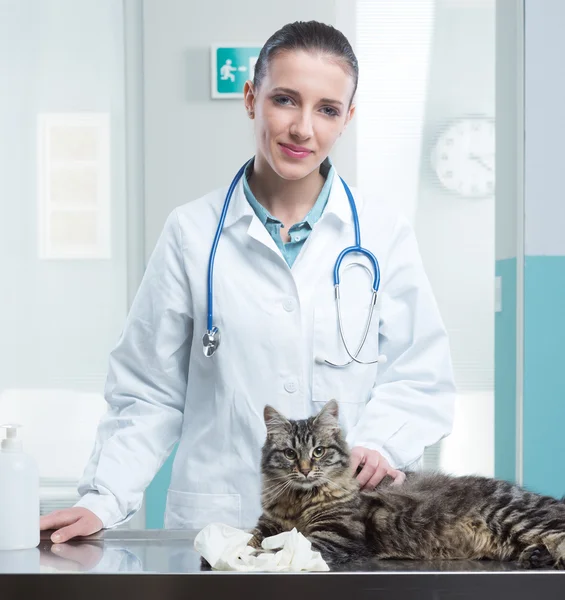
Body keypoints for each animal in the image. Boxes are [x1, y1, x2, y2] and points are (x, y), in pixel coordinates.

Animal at [250, 400, 564, 568]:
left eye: (318, 451)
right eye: (290, 453)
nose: (304, 470)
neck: (299, 501)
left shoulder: (334, 536)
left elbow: (282, 548)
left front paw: (257, 556)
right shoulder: (268, 523)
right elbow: (252, 536)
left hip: (517, 518)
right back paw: (536, 557)